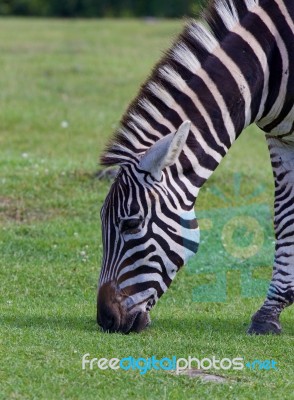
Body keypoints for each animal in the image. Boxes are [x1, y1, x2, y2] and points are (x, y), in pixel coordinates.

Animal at [97, 0, 294, 334]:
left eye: (131, 224)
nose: (105, 319)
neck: (271, 66)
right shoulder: (281, 139)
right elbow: (284, 218)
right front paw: (269, 314)